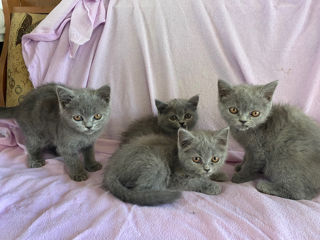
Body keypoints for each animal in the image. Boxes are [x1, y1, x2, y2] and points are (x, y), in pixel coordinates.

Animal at [101, 127, 229, 206]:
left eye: (215, 159)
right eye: (196, 159)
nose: (206, 169)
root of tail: (110, 169)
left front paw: (220, 175)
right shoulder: (175, 179)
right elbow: (194, 181)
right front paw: (212, 186)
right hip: (156, 165)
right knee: (140, 189)